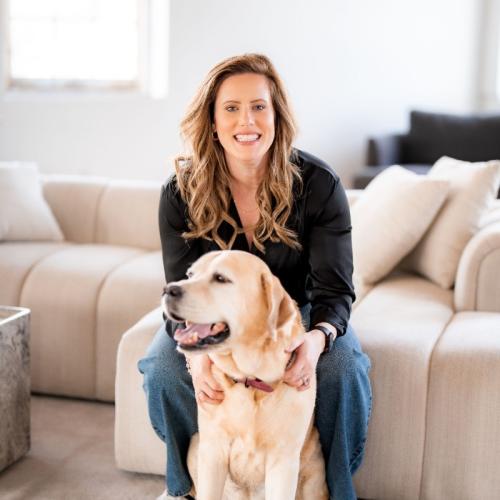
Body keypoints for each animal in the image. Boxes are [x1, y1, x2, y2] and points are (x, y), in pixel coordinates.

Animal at [163, 250, 328, 500]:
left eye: (220, 278)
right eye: (190, 275)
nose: (167, 289)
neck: (250, 381)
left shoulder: (283, 461)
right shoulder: (212, 452)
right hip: (196, 446)